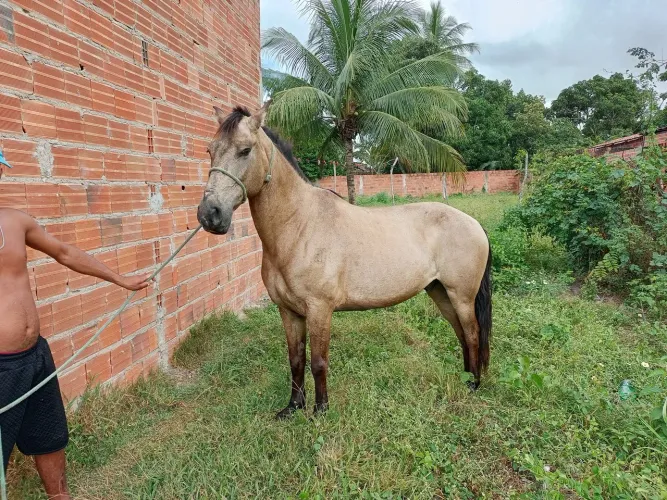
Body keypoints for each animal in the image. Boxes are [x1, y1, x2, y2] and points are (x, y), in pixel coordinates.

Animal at [197, 103, 492, 418]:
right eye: (210, 150)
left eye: (245, 150)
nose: (210, 214)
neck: (300, 225)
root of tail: (473, 223)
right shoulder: (288, 312)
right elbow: (296, 359)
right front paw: (292, 408)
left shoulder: (319, 310)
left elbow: (318, 362)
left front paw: (320, 412)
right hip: (439, 292)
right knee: (461, 333)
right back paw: (464, 379)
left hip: (461, 295)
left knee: (472, 334)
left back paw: (473, 385)